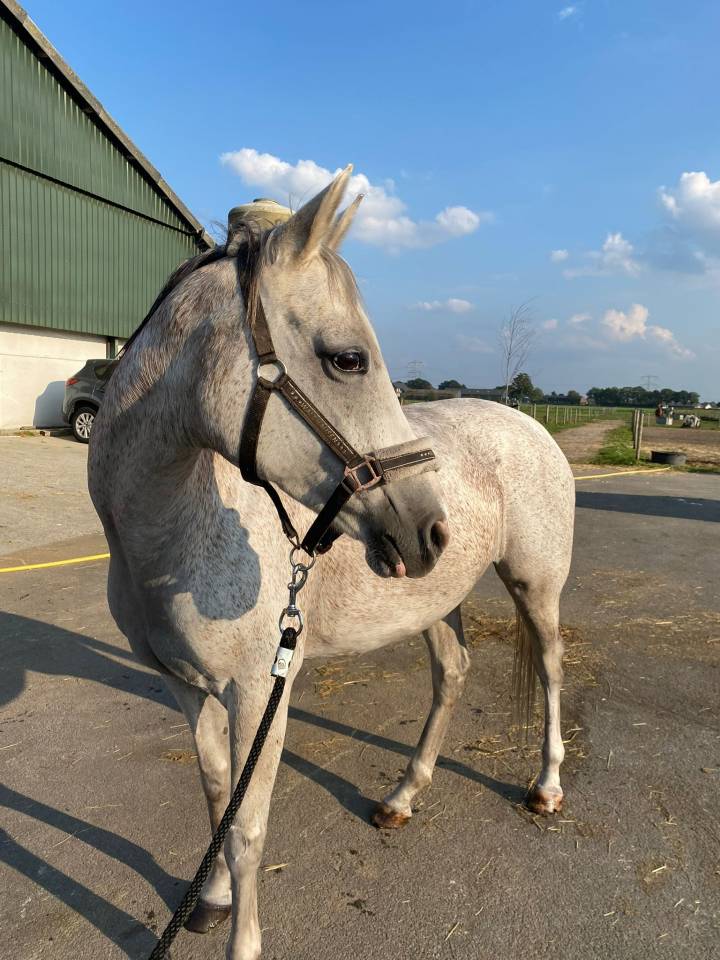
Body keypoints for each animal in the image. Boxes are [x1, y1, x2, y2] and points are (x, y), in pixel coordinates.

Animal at [88, 166, 575, 960]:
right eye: (348, 358)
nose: (428, 528)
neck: (172, 533)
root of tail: (527, 422)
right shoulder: (186, 687)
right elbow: (216, 796)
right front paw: (210, 902)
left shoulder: (258, 692)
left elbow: (247, 828)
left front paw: (243, 939)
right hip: (432, 599)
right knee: (452, 673)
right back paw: (403, 797)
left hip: (535, 586)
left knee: (554, 671)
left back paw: (547, 786)